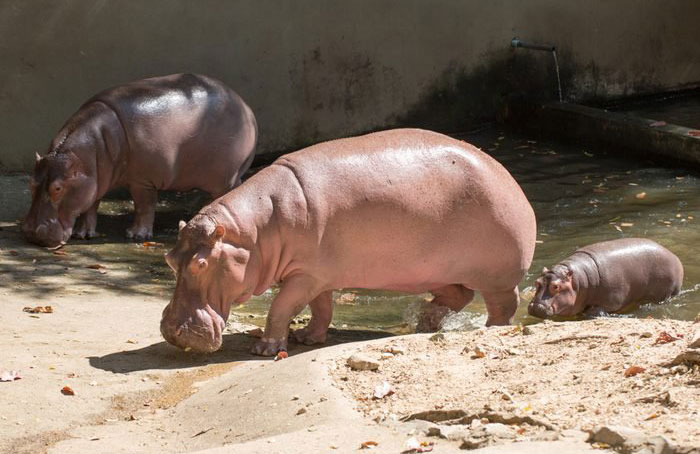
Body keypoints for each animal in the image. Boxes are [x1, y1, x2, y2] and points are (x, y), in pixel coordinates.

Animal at [22, 73, 257, 247]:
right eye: (31, 183)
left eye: (58, 188)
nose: (31, 232)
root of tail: (247, 108)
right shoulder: (94, 180)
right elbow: (90, 206)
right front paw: (84, 234)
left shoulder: (142, 181)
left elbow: (144, 206)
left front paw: (136, 235)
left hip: (225, 177)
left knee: (230, 192)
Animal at [160, 128, 537, 355]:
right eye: (169, 259)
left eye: (202, 263)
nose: (171, 331)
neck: (252, 233)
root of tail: (511, 182)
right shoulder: (317, 274)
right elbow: (320, 307)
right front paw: (307, 338)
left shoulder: (305, 275)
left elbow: (281, 307)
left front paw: (265, 349)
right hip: (435, 271)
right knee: (458, 295)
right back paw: (425, 322)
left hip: (497, 276)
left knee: (503, 304)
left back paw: (489, 328)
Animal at [528, 238, 683, 319]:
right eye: (536, 283)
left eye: (556, 287)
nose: (535, 307)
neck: (579, 281)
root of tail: (674, 256)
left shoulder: (611, 302)